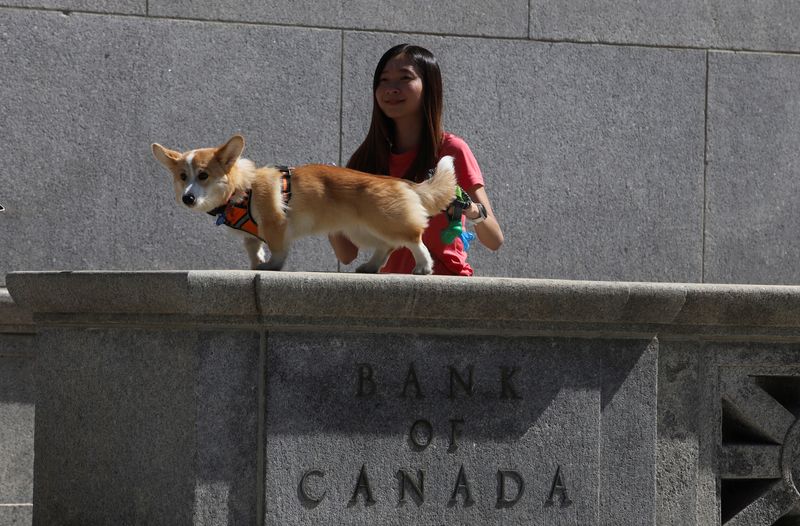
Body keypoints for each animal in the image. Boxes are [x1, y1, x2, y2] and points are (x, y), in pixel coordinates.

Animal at [151, 136, 456, 274]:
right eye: (183, 177)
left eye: (203, 176)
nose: (187, 198)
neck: (242, 188)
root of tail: (402, 183)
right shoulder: (251, 237)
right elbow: (253, 249)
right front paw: (256, 265)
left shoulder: (276, 224)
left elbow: (277, 249)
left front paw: (272, 266)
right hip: (360, 231)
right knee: (386, 246)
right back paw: (370, 266)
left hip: (387, 222)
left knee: (413, 238)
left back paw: (423, 266)